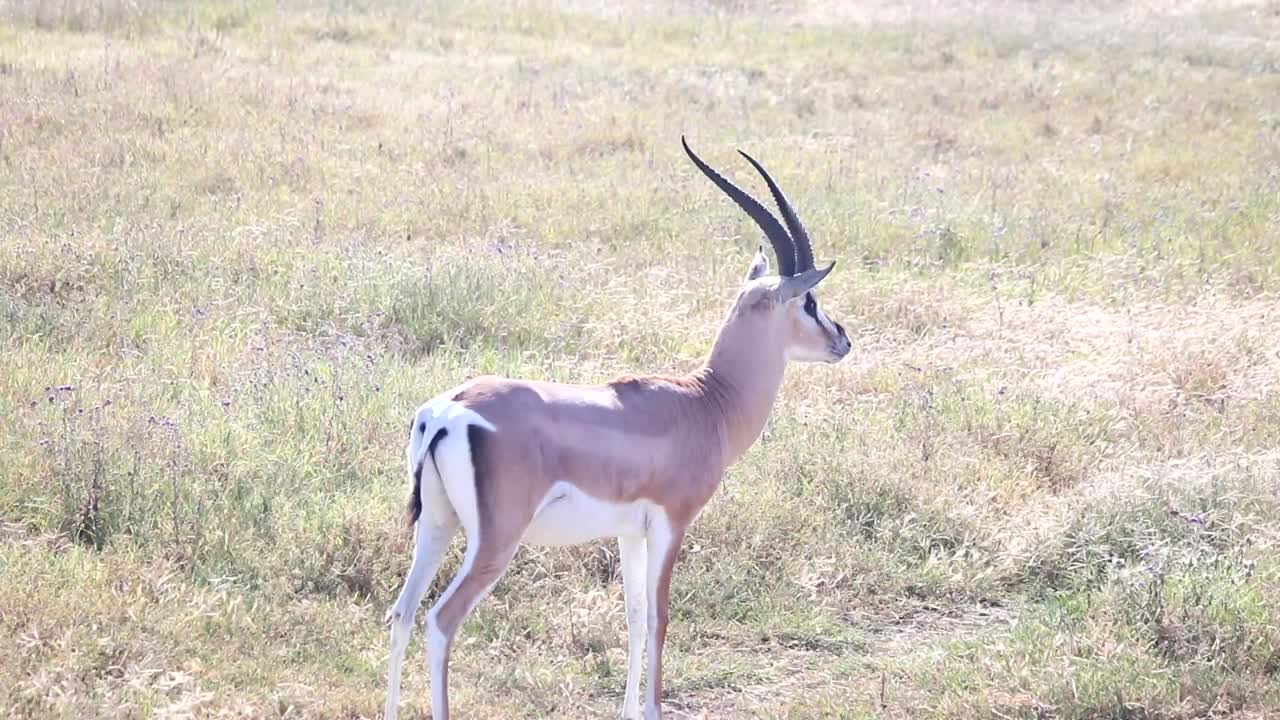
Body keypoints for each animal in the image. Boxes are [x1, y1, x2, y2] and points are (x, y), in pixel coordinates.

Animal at [383, 136, 851, 720]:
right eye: (809, 301)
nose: (842, 340)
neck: (706, 403)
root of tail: (445, 413)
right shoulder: (672, 523)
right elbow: (658, 615)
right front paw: (652, 709)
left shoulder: (630, 531)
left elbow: (631, 614)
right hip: (494, 541)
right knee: (440, 621)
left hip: (435, 526)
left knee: (401, 614)